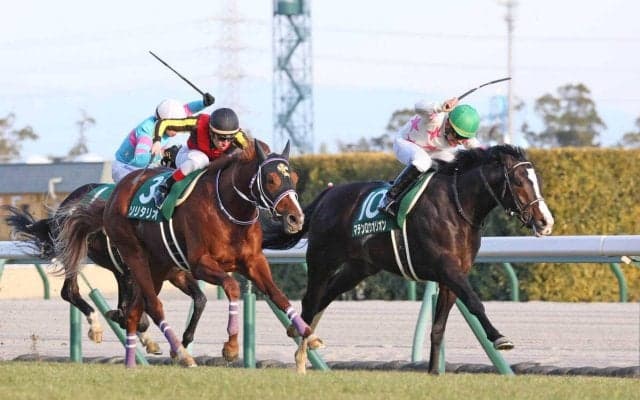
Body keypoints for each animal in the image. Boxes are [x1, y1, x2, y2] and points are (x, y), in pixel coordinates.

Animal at [3, 184, 207, 354]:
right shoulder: (136, 273)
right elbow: (135, 313)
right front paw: (117, 317)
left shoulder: (177, 274)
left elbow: (200, 299)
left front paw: (184, 340)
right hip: (76, 251)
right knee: (69, 292)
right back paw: (96, 327)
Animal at [55, 139, 313, 368]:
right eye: (271, 179)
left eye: (294, 178)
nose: (296, 218)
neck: (228, 209)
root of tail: (112, 197)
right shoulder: (200, 264)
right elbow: (232, 287)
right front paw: (230, 347)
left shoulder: (252, 262)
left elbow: (277, 294)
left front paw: (309, 335)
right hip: (134, 255)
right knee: (152, 306)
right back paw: (181, 354)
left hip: (155, 267)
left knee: (134, 311)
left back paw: (132, 361)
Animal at [262, 145, 555, 374]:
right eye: (518, 181)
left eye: (537, 180)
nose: (546, 222)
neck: (456, 206)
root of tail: (327, 195)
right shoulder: (447, 267)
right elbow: (475, 302)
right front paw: (499, 338)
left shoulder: (451, 276)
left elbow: (438, 328)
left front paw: (433, 372)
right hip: (322, 261)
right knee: (311, 301)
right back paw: (302, 351)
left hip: (359, 268)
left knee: (326, 297)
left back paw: (303, 336)